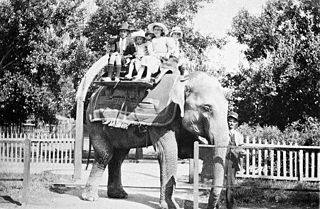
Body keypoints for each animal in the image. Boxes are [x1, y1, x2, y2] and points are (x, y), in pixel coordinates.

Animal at [81, 71, 229, 208]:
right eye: (207, 108)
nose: (213, 206)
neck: (184, 80)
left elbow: (187, 148)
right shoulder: (161, 119)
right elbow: (168, 153)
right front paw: (171, 206)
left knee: (119, 157)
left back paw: (119, 195)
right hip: (94, 124)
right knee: (105, 154)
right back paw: (90, 198)